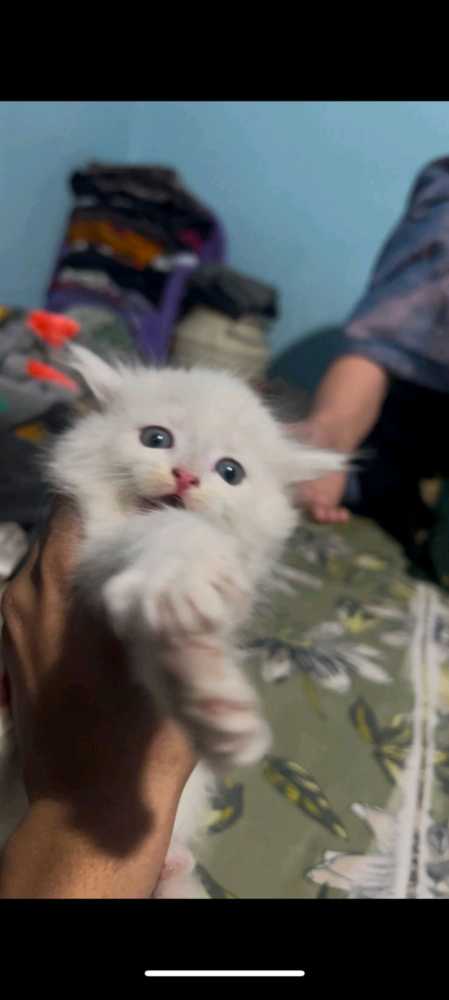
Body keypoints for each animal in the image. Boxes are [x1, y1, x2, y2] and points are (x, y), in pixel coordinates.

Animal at [1, 346, 346, 897]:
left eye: (230, 471)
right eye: (156, 438)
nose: (185, 476)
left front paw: (213, 695)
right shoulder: (88, 554)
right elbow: (167, 536)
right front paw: (180, 590)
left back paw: (175, 866)